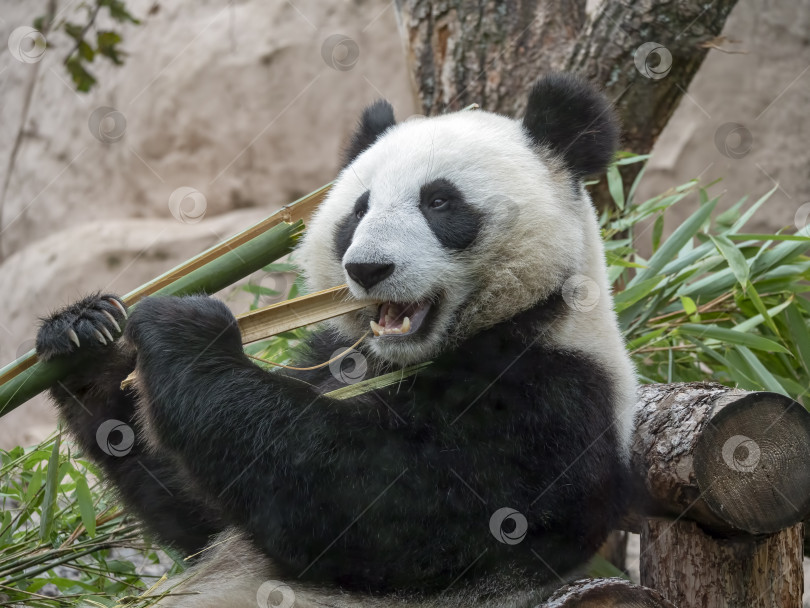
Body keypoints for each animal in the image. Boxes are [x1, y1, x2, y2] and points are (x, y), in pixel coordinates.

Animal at [36, 72, 632, 608]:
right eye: (359, 209)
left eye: (439, 202)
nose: (368, 268)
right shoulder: (335, 358)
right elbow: (197, 512)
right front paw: (86, 336)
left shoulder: (550, 397)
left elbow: (378, 506)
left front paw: (187, 332)